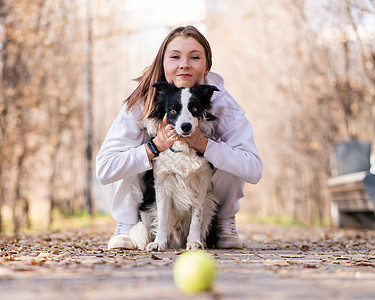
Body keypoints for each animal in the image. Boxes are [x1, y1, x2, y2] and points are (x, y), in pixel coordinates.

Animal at [131, 82, 220, 251]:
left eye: (194, 108)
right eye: (173, 110)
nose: (185, 126)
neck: (182, 146)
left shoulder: (202, 183)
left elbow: (197, 217)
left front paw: (194, 242)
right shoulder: (162, 184)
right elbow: (162, 216)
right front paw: (159, 242)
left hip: (211, 203)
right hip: (146, 209)